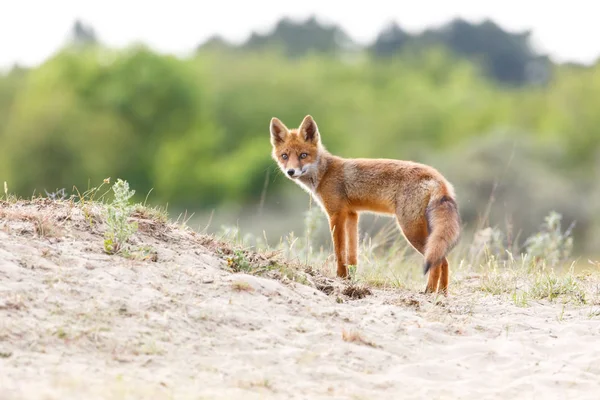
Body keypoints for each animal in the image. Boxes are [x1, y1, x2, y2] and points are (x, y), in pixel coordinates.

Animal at [270, 114, 462, 292]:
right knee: (444, 261)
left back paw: (429, 292)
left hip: (410, 229)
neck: (325, 173)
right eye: (284, 156)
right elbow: (352, 254)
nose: (290, 172)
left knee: (438, 261)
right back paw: (442, 294)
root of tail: (437, 177)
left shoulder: (336, 214)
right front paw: (350, 279)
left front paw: (340, 277)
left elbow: (339, 251)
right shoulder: (352, 214)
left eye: (303, 155)